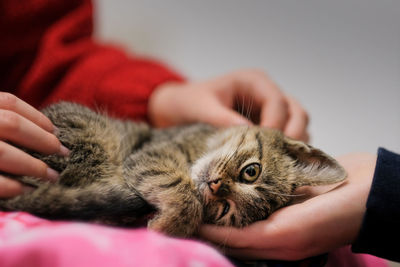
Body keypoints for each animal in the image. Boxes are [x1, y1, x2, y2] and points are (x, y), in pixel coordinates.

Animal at [0, 102, 344, 239]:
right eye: (251, 171)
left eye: (225, 210)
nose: (216, 186)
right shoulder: (151, 155)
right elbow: (182, 193)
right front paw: (169, 225)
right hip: (91, 133)